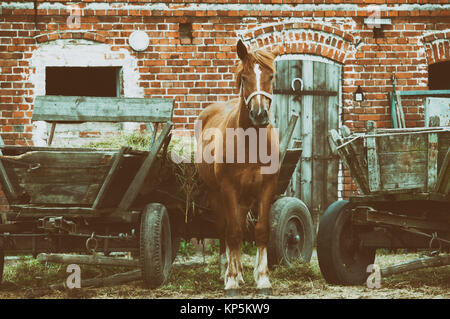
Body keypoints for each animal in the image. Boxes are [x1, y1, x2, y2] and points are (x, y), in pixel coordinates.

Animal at [195, 40, 280, 296]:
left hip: (246, 197)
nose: (260, 114)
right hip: (216, 193)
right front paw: (230, 280)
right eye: (244, 77)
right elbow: (232, 232)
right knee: (226, 229)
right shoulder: (228, 189)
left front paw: (263, 279)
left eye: (271, 76)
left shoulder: (266, 188)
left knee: (241, 227)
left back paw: (242, 273)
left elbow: (260, 231)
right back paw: (228, 272)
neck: (251, 143)